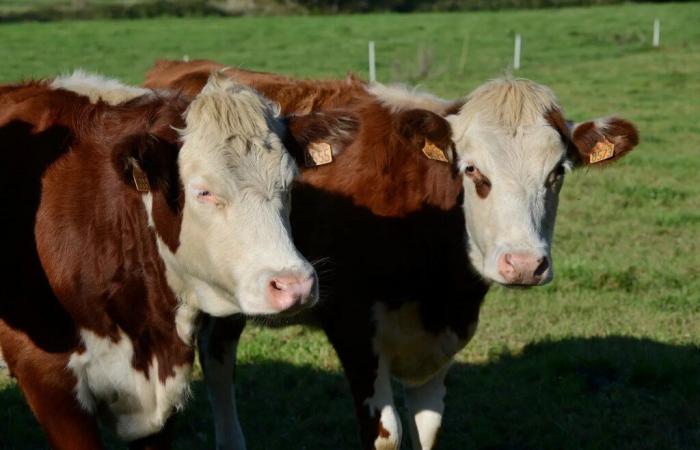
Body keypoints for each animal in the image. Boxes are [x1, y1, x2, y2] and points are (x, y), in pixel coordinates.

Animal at [144, 60, 640, 450]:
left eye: (557, 173)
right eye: (472, 170)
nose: (523, 264)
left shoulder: (438, 339)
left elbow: (428, 431)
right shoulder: (352, 326)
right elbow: (387, 434)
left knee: (218, 353)